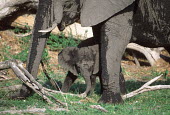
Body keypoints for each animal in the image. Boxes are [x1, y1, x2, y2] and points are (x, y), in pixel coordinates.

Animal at [13, 0, 170, 104]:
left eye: (67, 3)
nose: (17, 96)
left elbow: (116, 37)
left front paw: (109, 102)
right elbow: (101, 38)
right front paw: (121, 95)